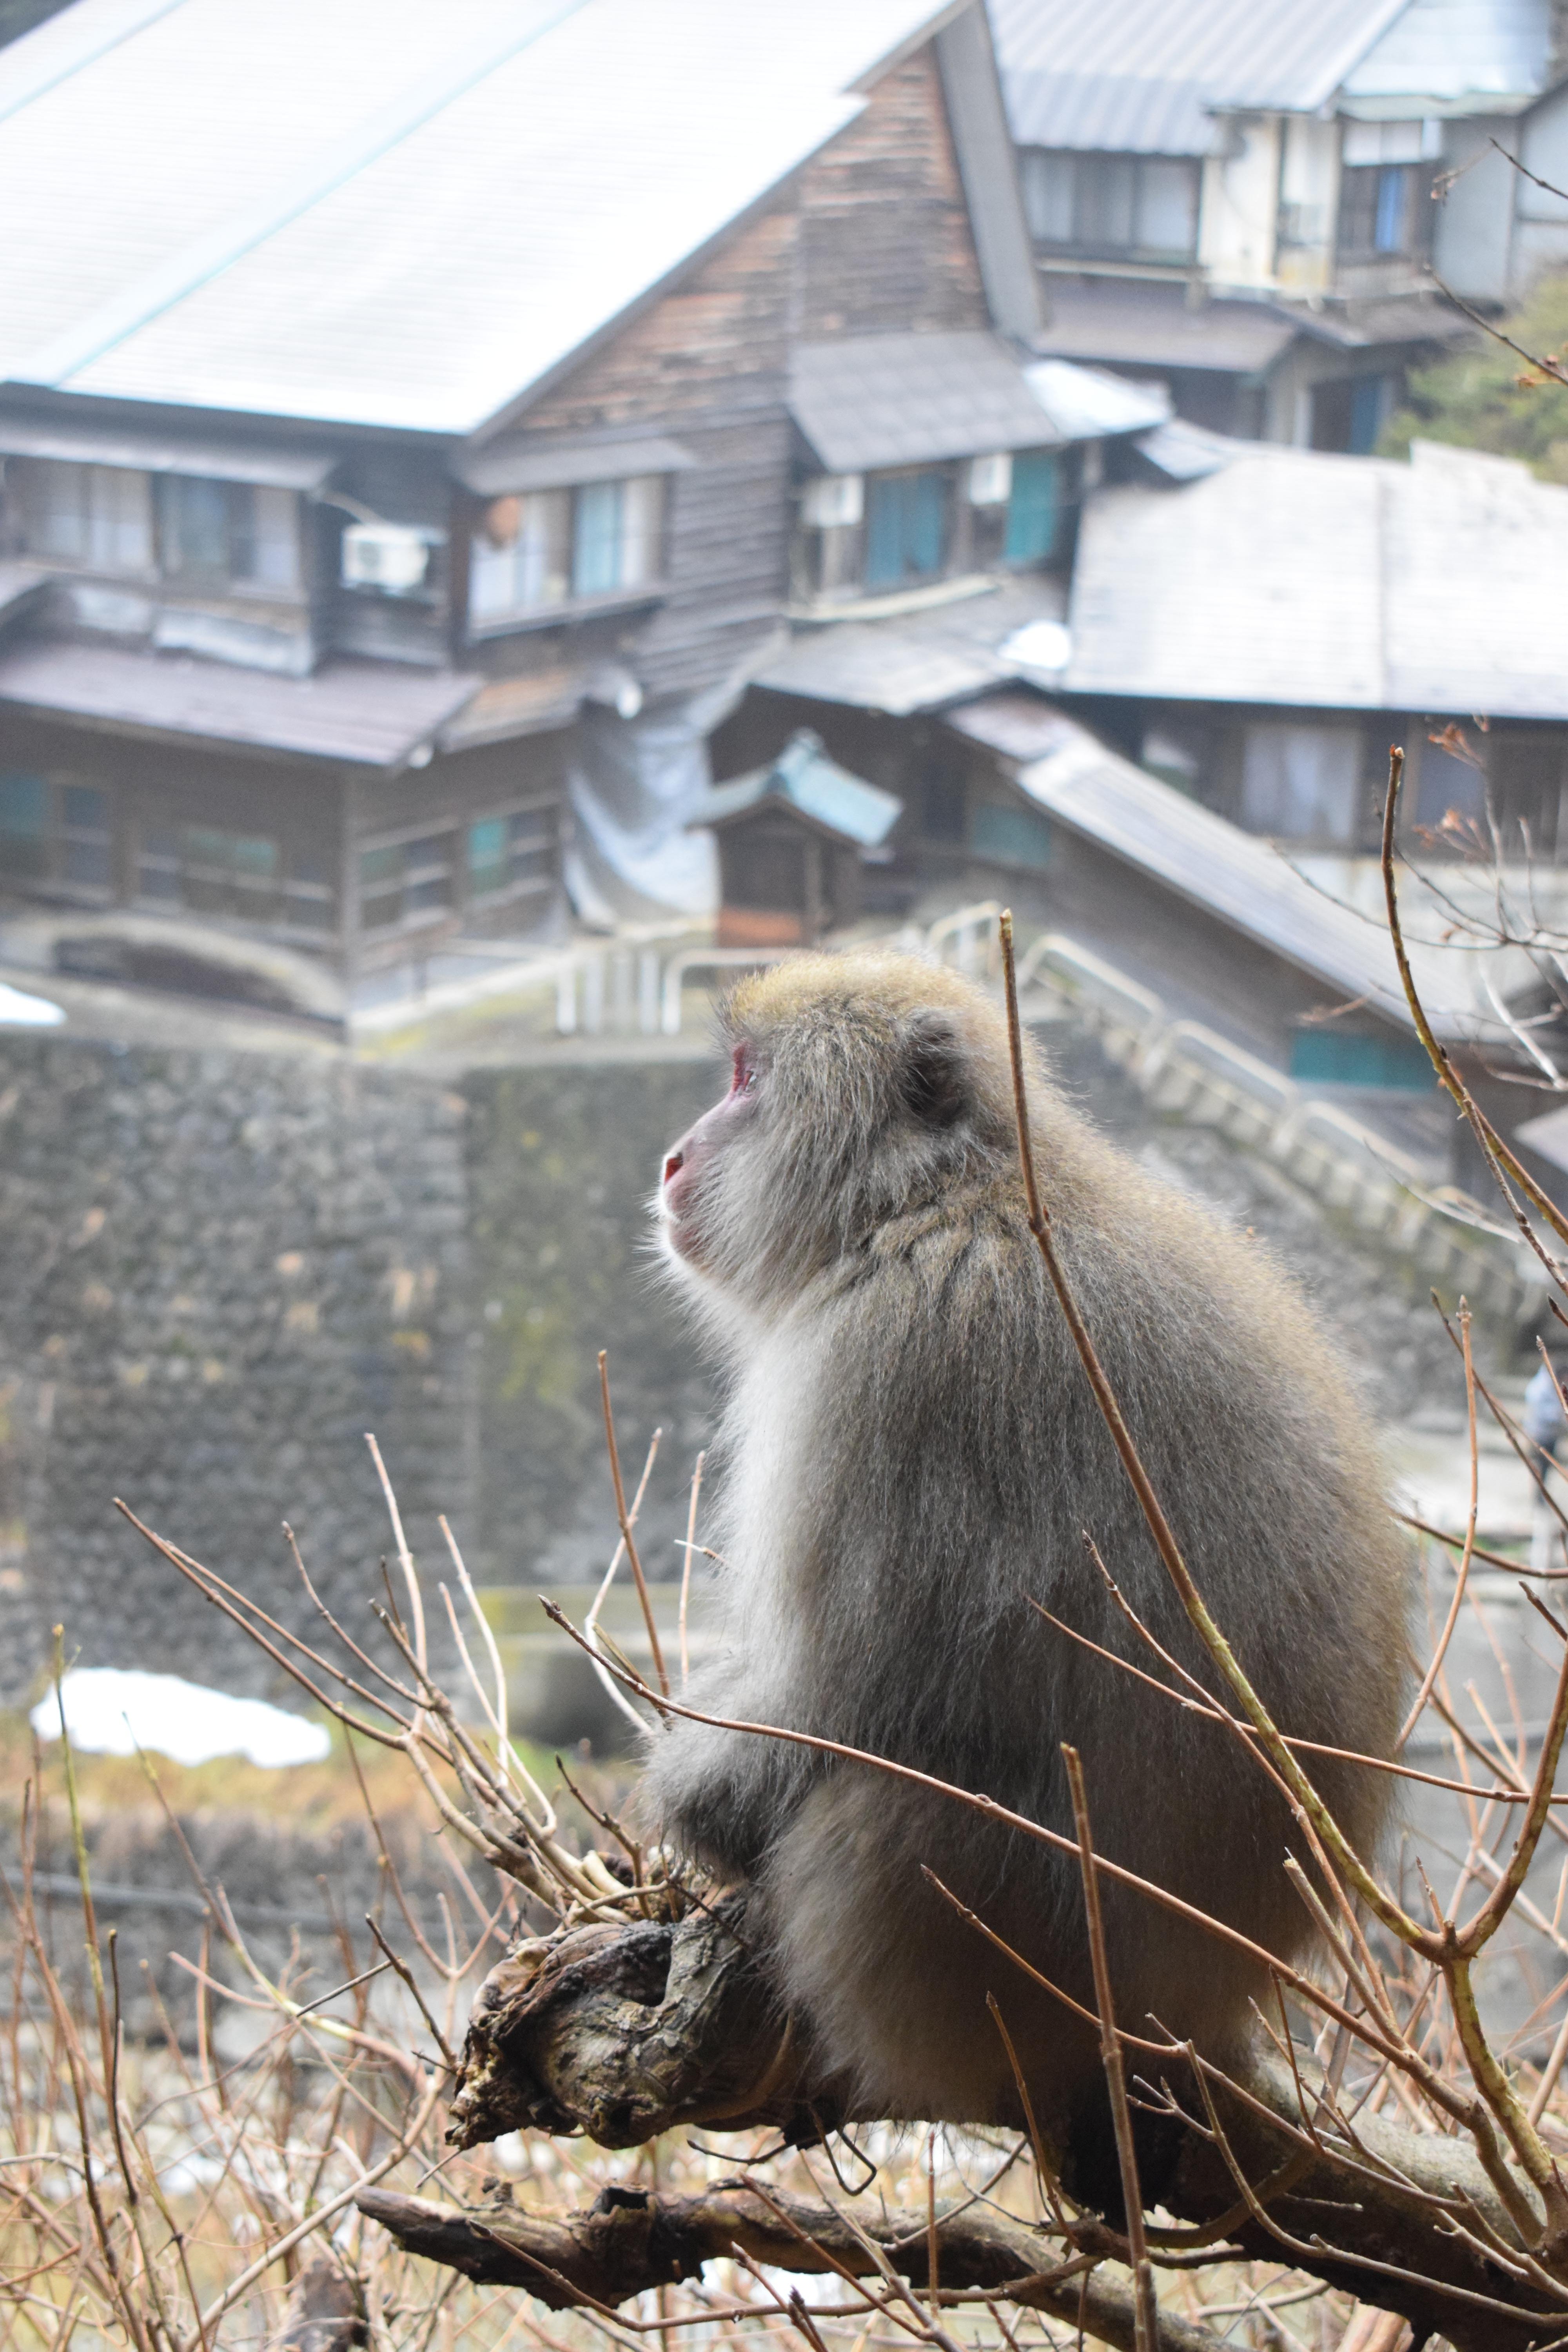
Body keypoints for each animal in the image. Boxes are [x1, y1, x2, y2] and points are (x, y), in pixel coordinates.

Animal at [640, 950, 1409, 2194]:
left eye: (747, 1079)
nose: (672, 1154)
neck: (941, 1202)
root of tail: (1213, 2003)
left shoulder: (887, 1365)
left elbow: (845, 1702)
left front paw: (692, 1803)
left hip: (1015, 1958)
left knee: (881, 1823)